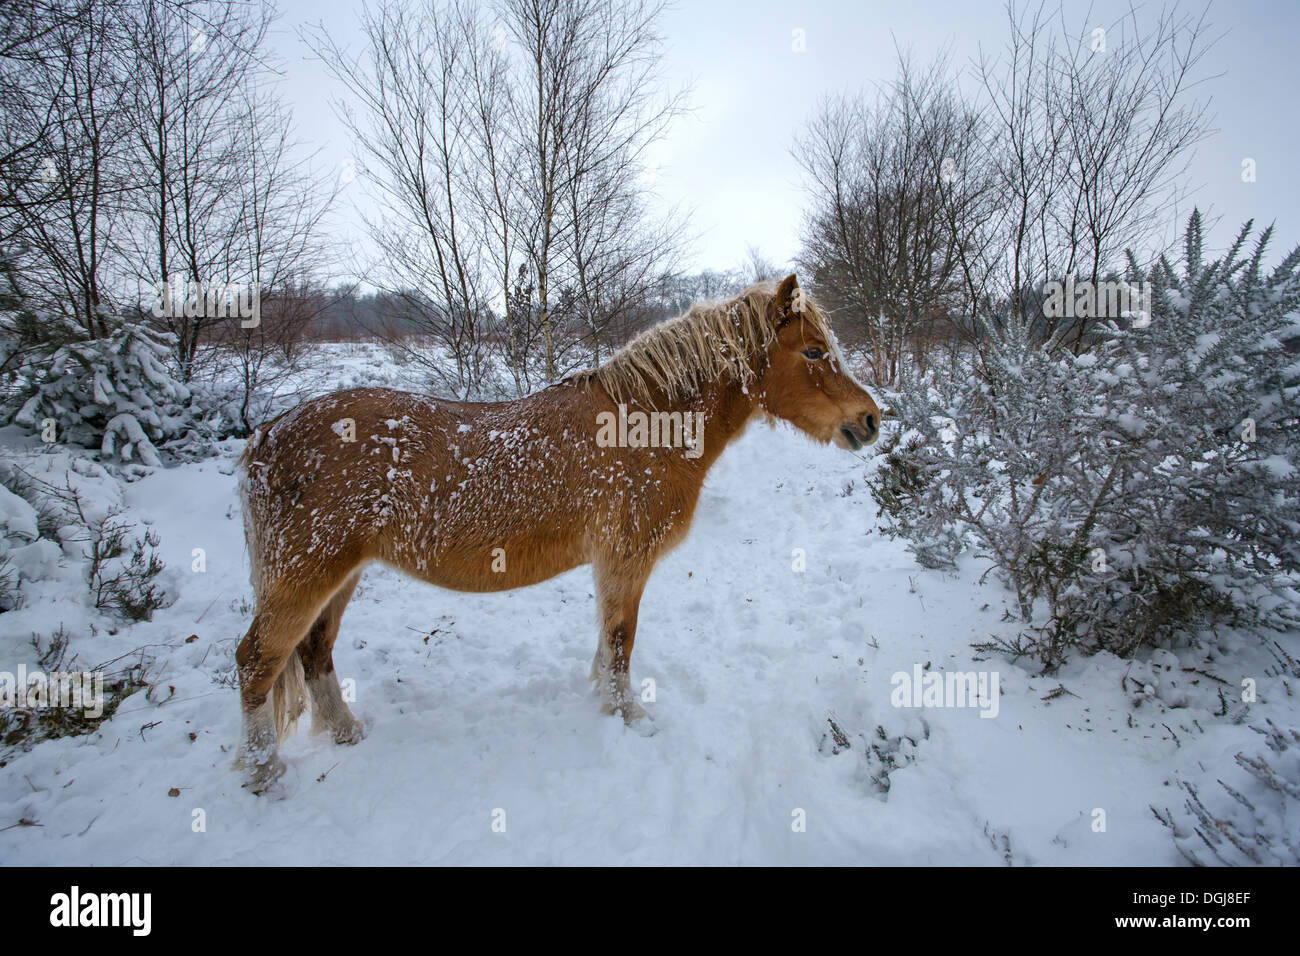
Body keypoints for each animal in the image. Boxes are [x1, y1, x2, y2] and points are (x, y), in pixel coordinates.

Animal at [233, 270, 883, 790]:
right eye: (815, 352)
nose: (871, 420)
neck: (644, 424)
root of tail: (265, 438)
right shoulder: (625, 560)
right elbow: (620, 642)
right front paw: (629, 718)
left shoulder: (611, 564)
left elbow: (606, 641)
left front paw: (604, 702)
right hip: (303, 579)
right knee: (256, 663)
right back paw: (265, 774)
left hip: (340, 576)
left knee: (313, 653)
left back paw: (346, 732)